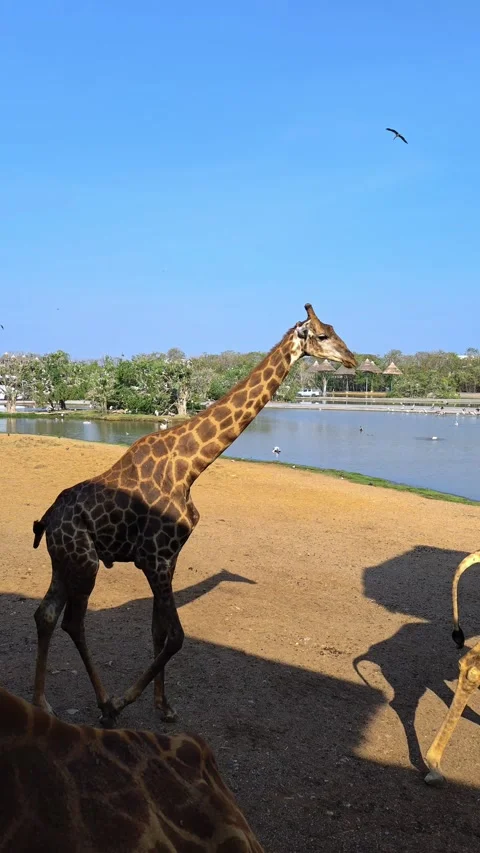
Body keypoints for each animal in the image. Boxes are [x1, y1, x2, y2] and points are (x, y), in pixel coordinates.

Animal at [32, 303, 356, 727]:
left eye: (334, 330)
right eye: (321, 335)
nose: (352, 360)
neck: (190, 466)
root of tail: (47, 520)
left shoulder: (166, 559)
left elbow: (158, 633)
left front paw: (164, 707)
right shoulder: (155, 557)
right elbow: (176, 637)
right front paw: (125, 702)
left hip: (64, 561)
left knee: (46, 614)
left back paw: (42, 703)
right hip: (84, 561)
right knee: (73, 620)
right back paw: (104, 705)